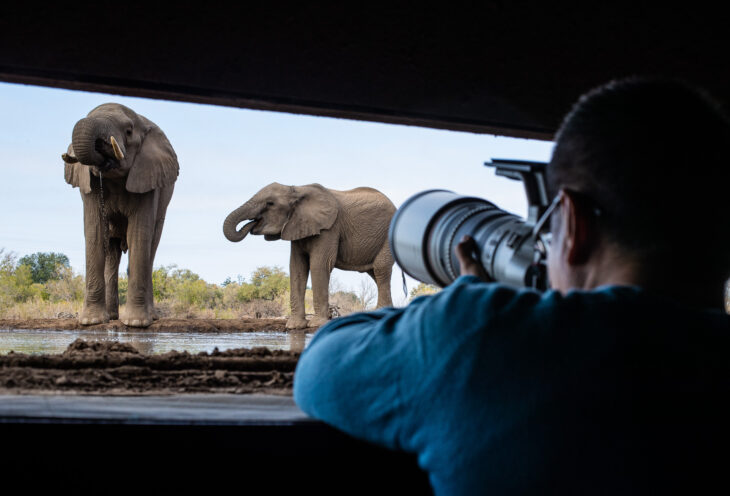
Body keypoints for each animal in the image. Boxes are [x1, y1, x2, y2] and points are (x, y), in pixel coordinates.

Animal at [62, 103, 179, 327]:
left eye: (129, 131)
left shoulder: (147, 177)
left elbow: (139, 235)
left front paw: (136, 323)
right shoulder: (89, 186)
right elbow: (95, 232)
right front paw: (91, 321)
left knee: (150, 248)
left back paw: (150, 317)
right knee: (111, 253)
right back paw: (111, 316)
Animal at [223, 183, 396, 329]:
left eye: (270, 203)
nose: (251, 224)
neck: (296, 190)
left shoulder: (329, 229)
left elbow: (319, 264)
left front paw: (316, 325)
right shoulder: (297, 226)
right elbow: (297, 267)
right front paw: (294, 326)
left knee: (380, 268)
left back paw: (382, 314)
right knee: (375, 273)